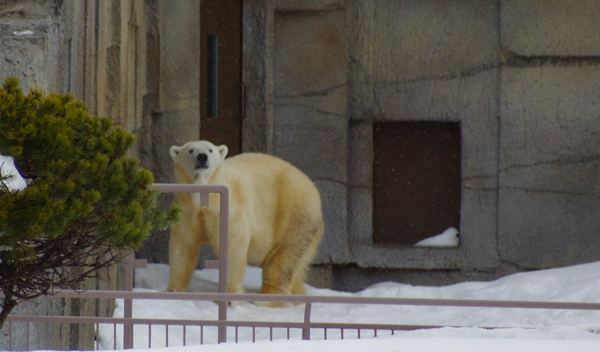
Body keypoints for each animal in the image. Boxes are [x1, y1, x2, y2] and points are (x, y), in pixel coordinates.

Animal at [166, 140, 324, 302]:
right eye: (190, 150)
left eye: (210, 150)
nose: (202, 157)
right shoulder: (187, 208)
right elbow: (183, 245)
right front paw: (174, 290)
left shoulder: (230, 206)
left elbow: (232, 246)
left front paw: (228, 297)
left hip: (294, 215)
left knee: (283, 256)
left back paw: (266, 298)